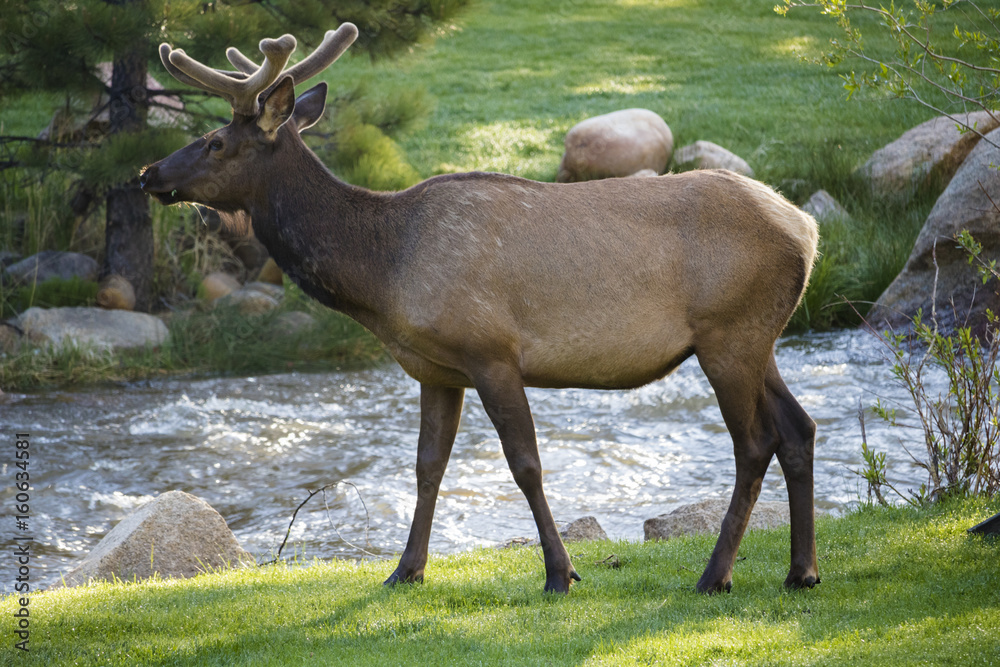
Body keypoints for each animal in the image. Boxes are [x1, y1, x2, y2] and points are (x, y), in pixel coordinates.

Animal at [140, 23, 821, 595]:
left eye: (215, 142)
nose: (149, 173)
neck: (382, 274)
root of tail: (808, 230)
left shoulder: (491, 350)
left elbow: (525, 464)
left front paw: (560, 574)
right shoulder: (436, 368)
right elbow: (426, 467)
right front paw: (405, 571)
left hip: (728, 332)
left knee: (755, 442)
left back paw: (715, 575)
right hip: (759, 337)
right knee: (799, 428)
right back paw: (801, 571)